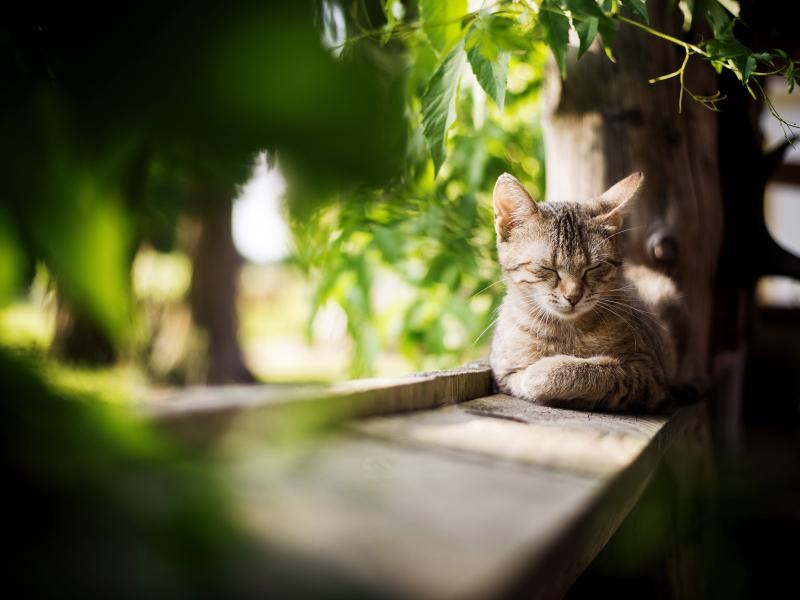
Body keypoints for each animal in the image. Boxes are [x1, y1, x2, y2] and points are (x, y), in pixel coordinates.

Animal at [488, 171, 688, 410]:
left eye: (593, 267)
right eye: (548, 268)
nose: (573, 296)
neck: (566, 332)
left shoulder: (648, 373)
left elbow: (588, 371)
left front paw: (545, 371)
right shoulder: (503, 370)